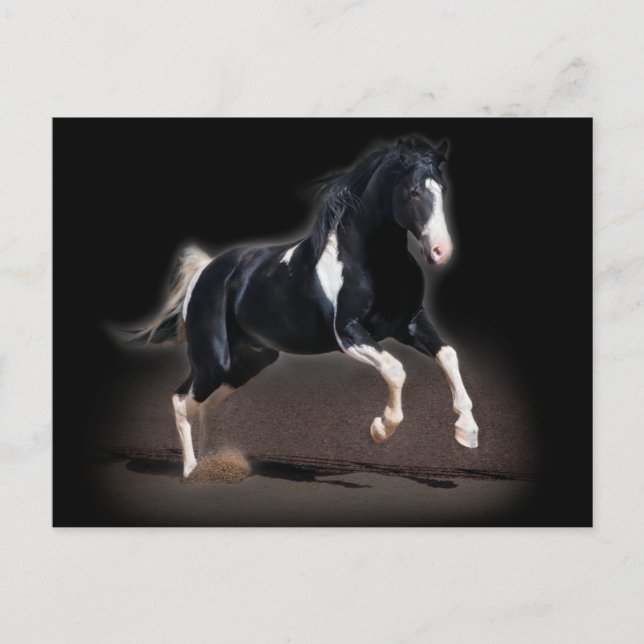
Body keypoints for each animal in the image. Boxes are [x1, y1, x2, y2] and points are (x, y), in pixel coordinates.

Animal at [124, 135, 479, 477]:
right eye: (413, 191)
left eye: (442, 189)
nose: (440, 251)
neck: (371, 262)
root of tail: (205, 270)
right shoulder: (348, 334)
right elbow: (395, 369)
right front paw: (380, 429)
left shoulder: (410, 323)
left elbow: (449, 355)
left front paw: (467, 432)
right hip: (213, 361)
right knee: (182, 401)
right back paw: (191, 471)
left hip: (251, 360)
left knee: (206, 405)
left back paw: (212, 462)